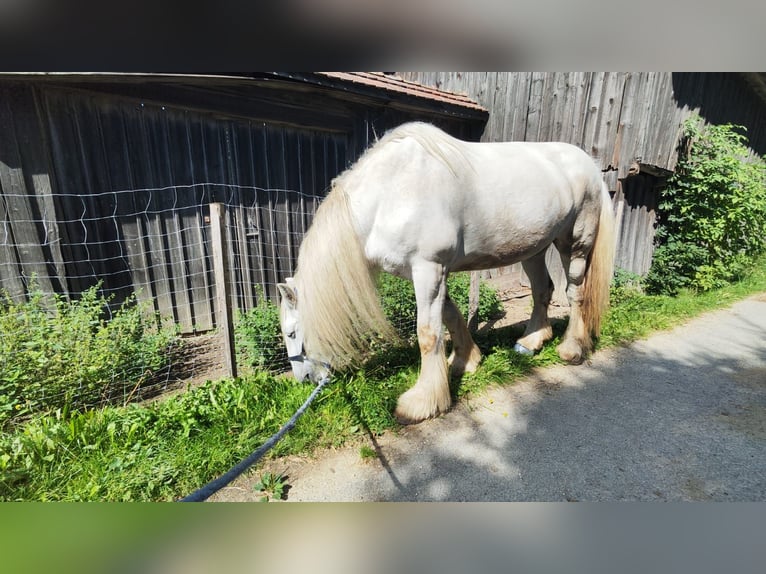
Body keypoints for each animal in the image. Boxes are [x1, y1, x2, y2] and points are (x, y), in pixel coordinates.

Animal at [278, 121, 615, 424]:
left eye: (293, 332)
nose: (304, 379)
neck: (389, 194)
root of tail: (589, 166)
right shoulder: (428, 272)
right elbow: (450, 316)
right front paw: (465, 361)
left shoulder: (428, 269)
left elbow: (428, 333)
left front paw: (422, 403)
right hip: (534, 249)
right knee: (542, 289)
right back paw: (531, 341)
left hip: (574, 244)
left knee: (574, 291)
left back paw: (572, 349)